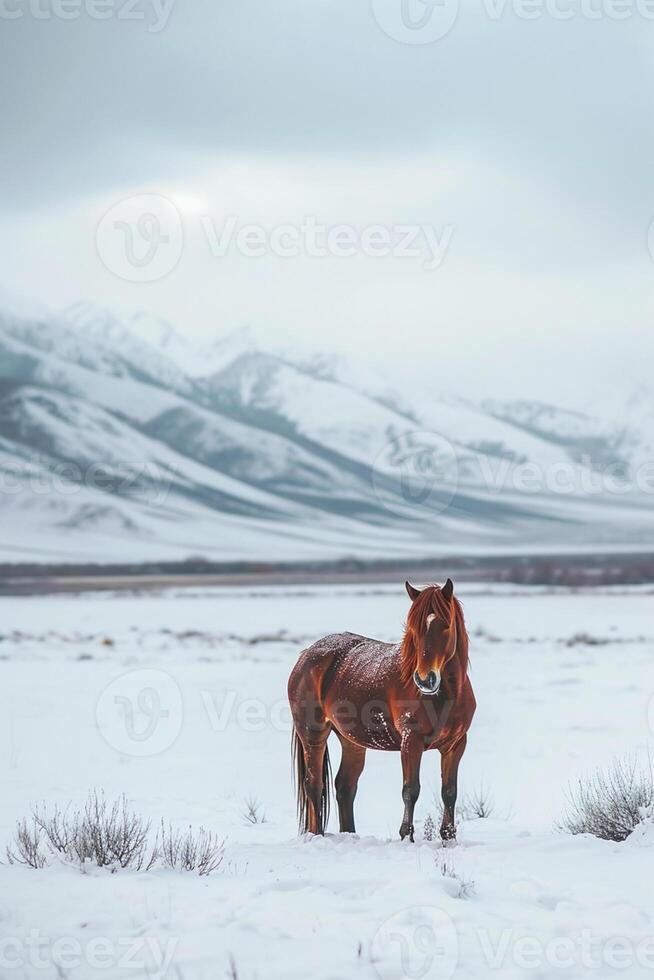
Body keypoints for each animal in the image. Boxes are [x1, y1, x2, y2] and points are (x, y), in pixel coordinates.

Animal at [288, 580, 476, 844]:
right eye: (414, 628)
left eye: (445, 625)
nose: (425, 679)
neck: (444, 695)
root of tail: (306, 654)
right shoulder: (411, 742)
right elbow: (411, 790)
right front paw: (406, 837)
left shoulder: (456, 744)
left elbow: (449, 792)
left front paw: (448, 838)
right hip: (313, 735)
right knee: (314, 786)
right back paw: (317, 838)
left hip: (351, 741)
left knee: (345, 787)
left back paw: (350, 835)